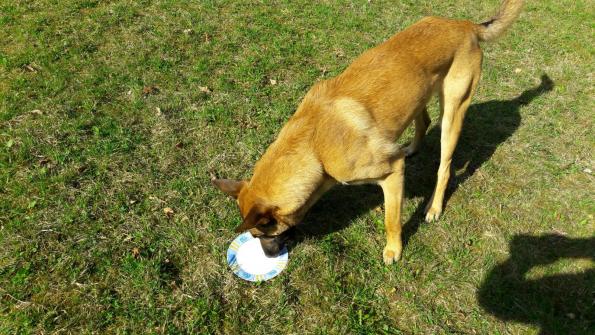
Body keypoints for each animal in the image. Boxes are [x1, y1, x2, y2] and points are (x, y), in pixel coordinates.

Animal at [217, 0, 524, 266]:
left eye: (262, 234)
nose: (268, 258)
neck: (314, 146)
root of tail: (466, 25)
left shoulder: (392, 172)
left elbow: (391, 219)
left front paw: (393, 250)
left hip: (453, 112)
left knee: (444, 167)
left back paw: (434, 207)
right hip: (419, 96)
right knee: (423, 122)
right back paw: (411, 148)